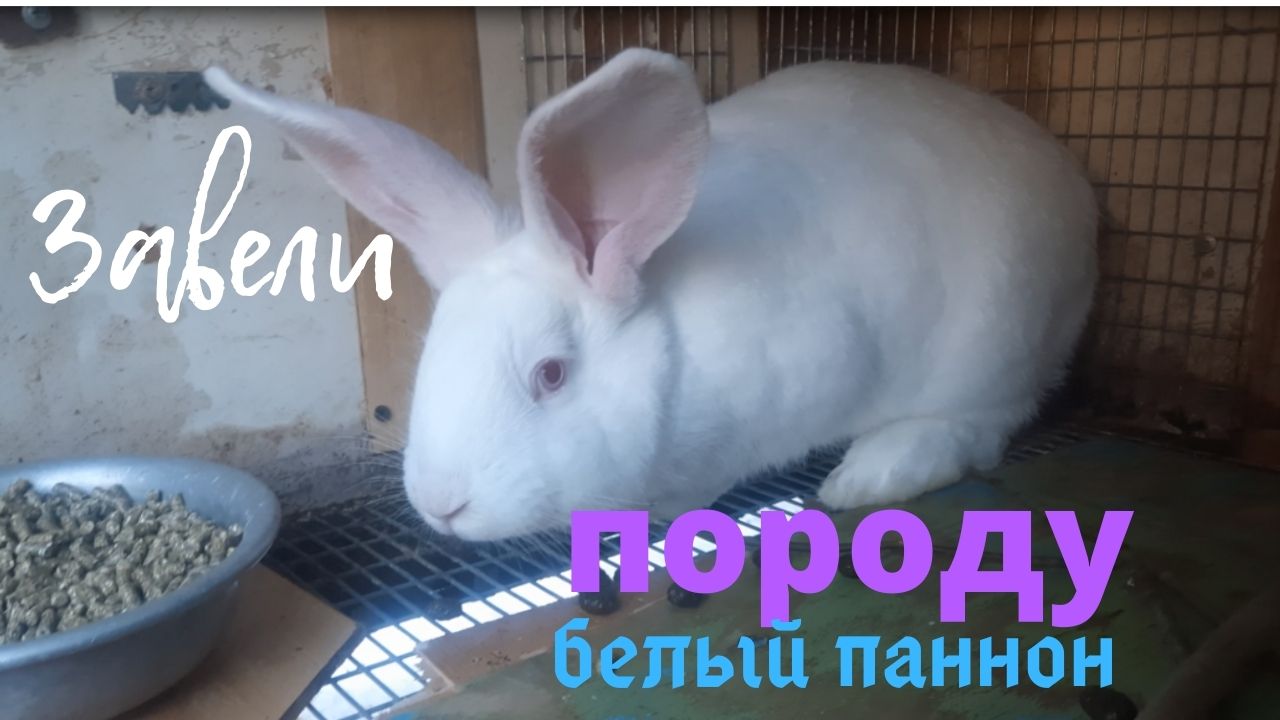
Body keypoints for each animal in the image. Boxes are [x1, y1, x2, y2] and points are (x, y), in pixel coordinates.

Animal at [203, 47, 1097, 542]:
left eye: (552, 375)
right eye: (431, 357)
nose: (441, 505)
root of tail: (1070, 181)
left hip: (994, 346)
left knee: (979, 427)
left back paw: (866, 479)